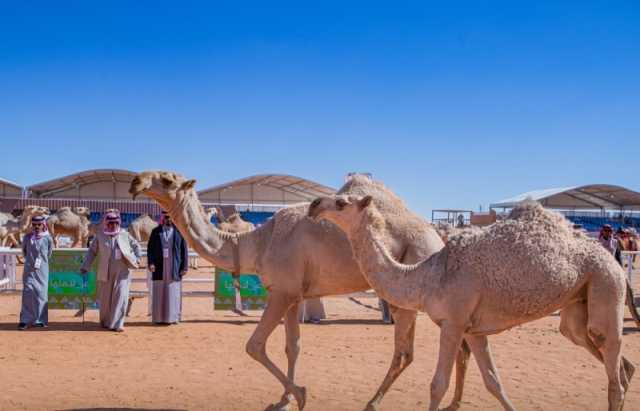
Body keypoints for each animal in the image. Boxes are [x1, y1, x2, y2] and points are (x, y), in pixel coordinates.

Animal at [127, 171, 456, 411]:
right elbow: (292, 346)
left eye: (167, 180)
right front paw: (284, 399)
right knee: (417, 350)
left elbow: (255, 345)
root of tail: (436, 236)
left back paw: (372, 403)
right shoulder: (294, 295)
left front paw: (299, 395)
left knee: (405, 350)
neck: (257, 242)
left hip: (413, 277)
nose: (136, 181)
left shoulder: (281, 292)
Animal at [310, 196, 636, 411]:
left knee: (613, 367)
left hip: (606, 285)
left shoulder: (453, 323)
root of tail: (617, 265)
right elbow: (493, 381)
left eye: (341, 202)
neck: (426, 278)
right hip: (578, 306)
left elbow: (437, 385)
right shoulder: (473, 330)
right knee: (611, 360)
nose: (314, 204)